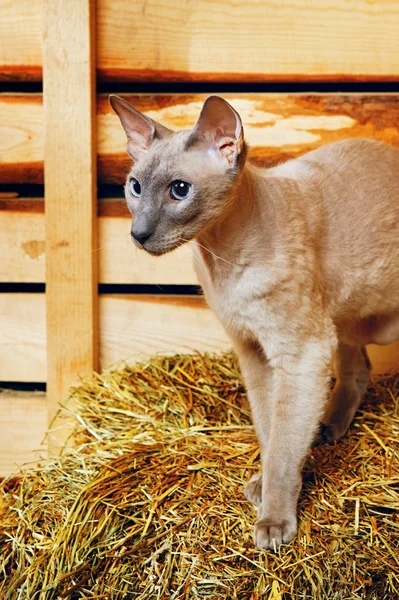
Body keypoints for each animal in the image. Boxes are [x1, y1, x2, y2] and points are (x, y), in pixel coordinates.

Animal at [111, 94, 399, 548]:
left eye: (180, 190)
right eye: (135, 187)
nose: (138, 234)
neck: (219, 258)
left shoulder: (300, 355)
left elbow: (283, 444)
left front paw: (274, 521)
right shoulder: (255, 353)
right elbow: (270, 431)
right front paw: (264, 490)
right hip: (343, 322)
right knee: (358, 369)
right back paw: (327, 430)